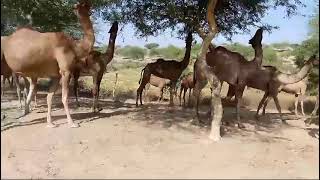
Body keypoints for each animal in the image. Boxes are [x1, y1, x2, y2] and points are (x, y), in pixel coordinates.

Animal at [2, 0, 95, 129]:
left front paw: (50, 123)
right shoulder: (65, 70)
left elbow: (49, 97)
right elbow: (64, 97)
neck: (75, 46)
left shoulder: (56, 75)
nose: (89, 8)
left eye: (86, 5)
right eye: (83, 5)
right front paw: (72, 123)